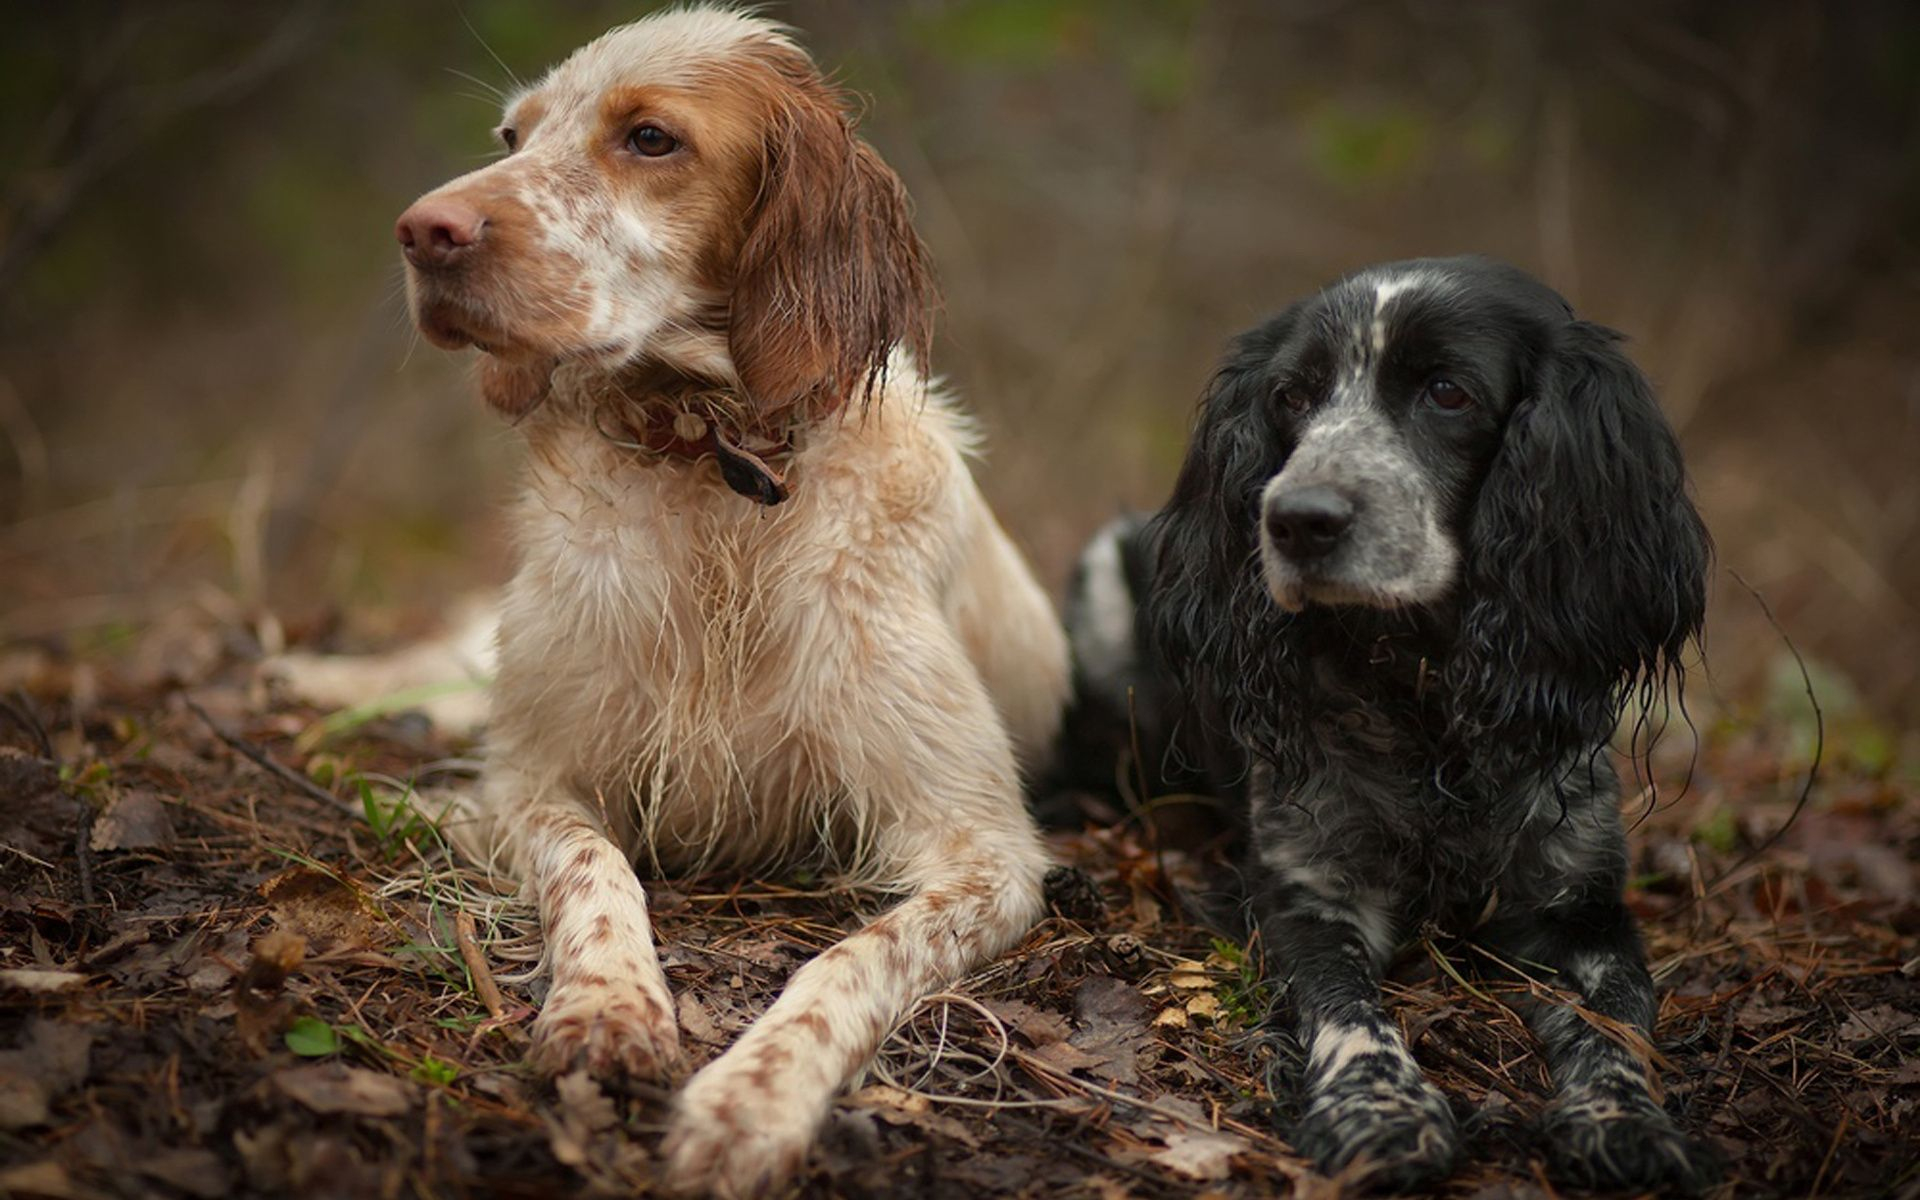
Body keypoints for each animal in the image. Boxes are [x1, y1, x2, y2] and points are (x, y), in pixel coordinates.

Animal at [288, 7, 1067, 1190]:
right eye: (513, 135)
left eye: (650, 138)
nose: (422, 230)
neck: (714, 468)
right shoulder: (529, 777)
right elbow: (598, 871)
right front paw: (608, 1010)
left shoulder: (983, 850)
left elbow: (848, 961)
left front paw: (752, 1101)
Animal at [1075, 259, 1720, 1190]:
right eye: (1292, 396)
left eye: (1447, 392)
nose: (1296, 519)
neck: (1426, 705)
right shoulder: (1307, 893)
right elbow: (1349, 1011)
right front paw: (1380, 1110)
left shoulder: (1581, 906)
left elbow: (1620, 1026)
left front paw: (1623, 1119)